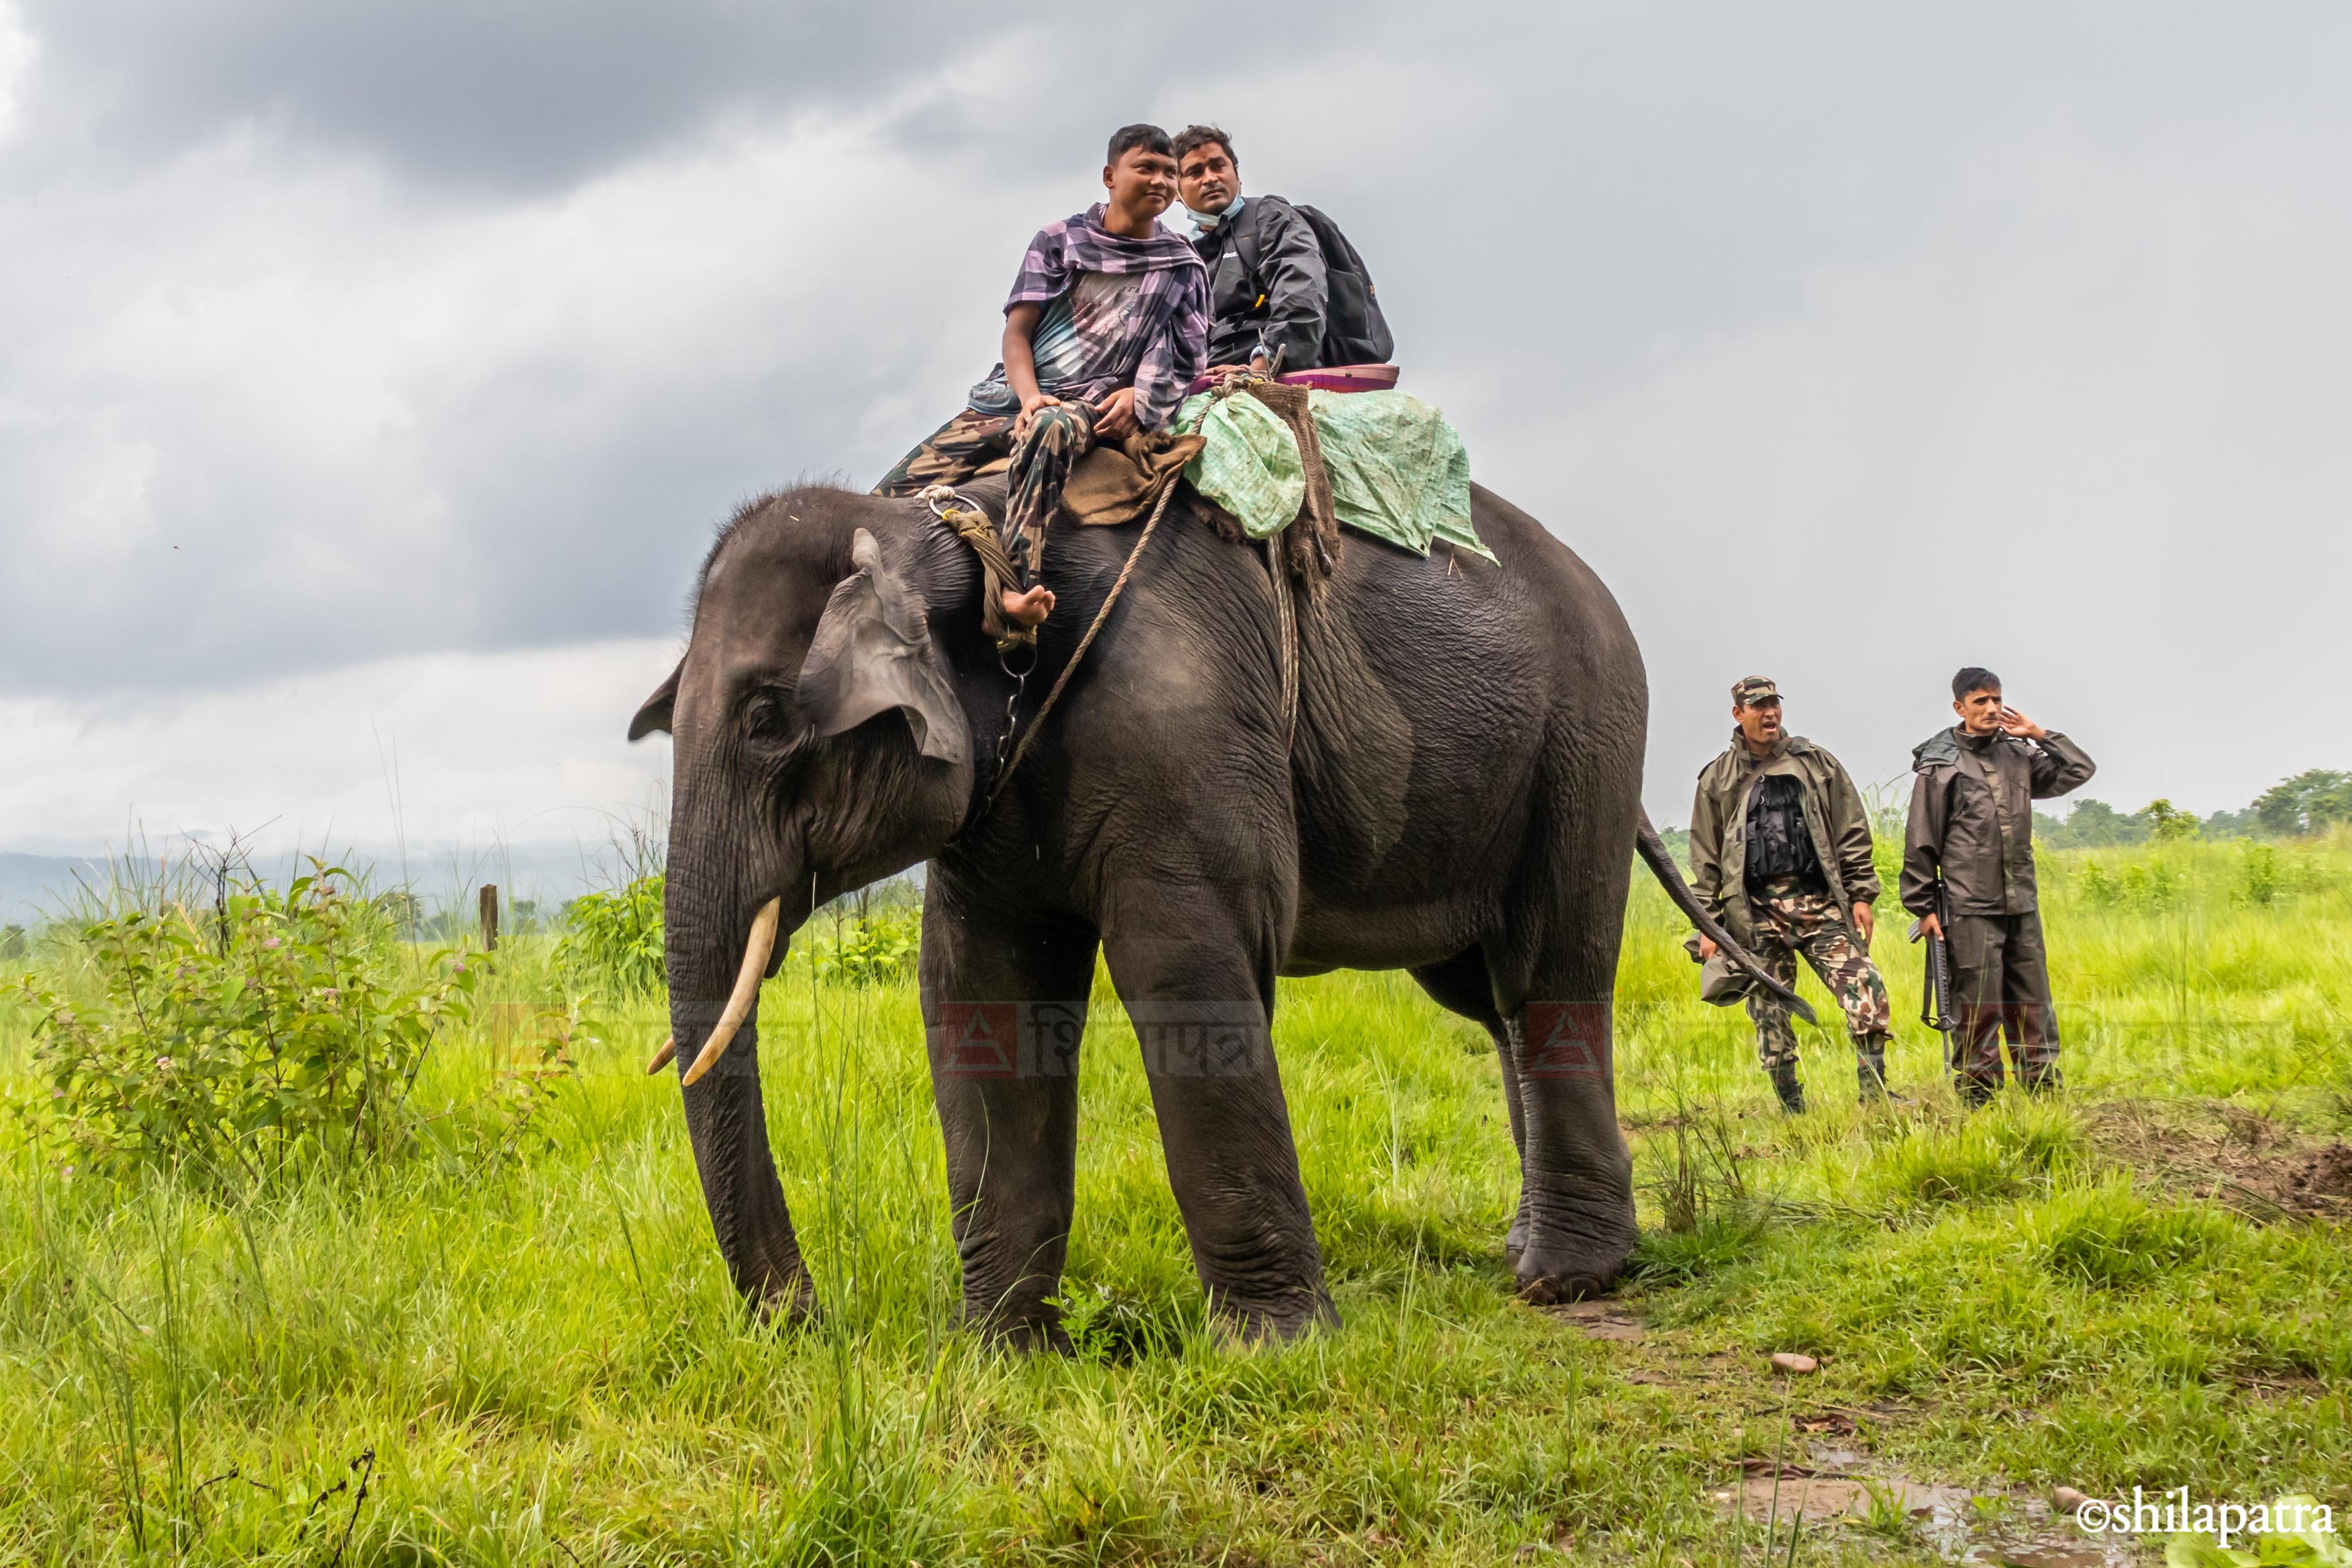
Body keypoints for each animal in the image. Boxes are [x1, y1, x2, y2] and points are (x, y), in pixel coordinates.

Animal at [628, 474, 1797, 1346]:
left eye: (765, 719)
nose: (809, 1321)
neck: (971, 538)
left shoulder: (1179, 718)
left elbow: (1184, 973)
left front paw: (1274, 1349)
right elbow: (981, 996)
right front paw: (1003, 1353)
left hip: (1587, 731)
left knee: (1545, 970)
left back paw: (1565, 1278)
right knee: (1486, 996)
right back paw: (1530, 1249)